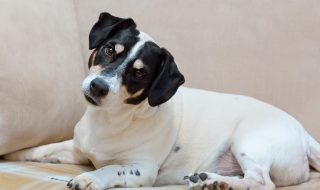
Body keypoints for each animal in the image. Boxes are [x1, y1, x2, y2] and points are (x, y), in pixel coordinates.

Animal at [4, 12, 320, 189]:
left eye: (139, 73)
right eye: (109, 50)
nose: (98, 86)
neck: (109, 122)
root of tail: (304, 134)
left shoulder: (142, 170)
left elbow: (109, 168)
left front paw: (90, 179)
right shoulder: (77, 150)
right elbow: (41, 150)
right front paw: (15, 153)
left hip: (248, 142)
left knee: (261, 182)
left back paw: (216, 182)